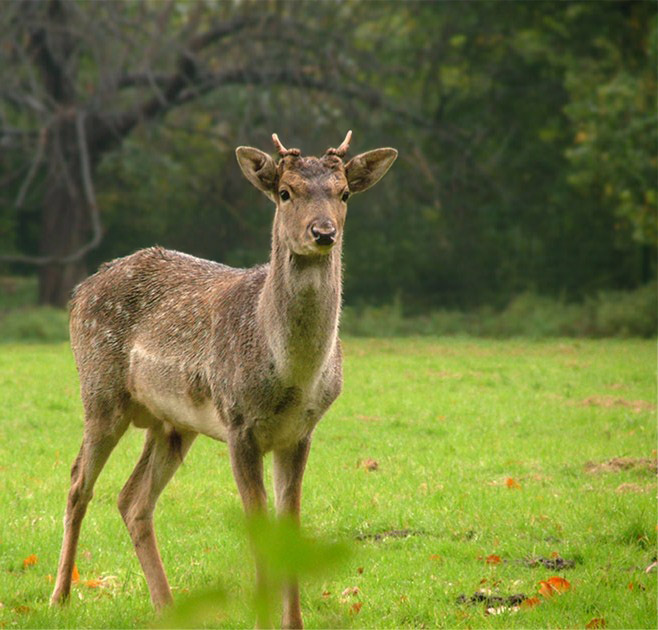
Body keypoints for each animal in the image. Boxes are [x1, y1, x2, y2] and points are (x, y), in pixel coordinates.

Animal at [50, 131, 394, 628]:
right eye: (285, 192)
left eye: (344, 193)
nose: (323, 233)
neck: (292, 378)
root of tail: (80, 291)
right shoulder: (239, 424)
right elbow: (258, 526)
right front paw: (264, 620)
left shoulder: (301, 433)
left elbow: (289, 529)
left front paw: (293, 622)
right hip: (99, 392)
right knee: (79, 482)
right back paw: (59, 596)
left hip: (172, 424)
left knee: (132, 500)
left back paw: (167, 606)